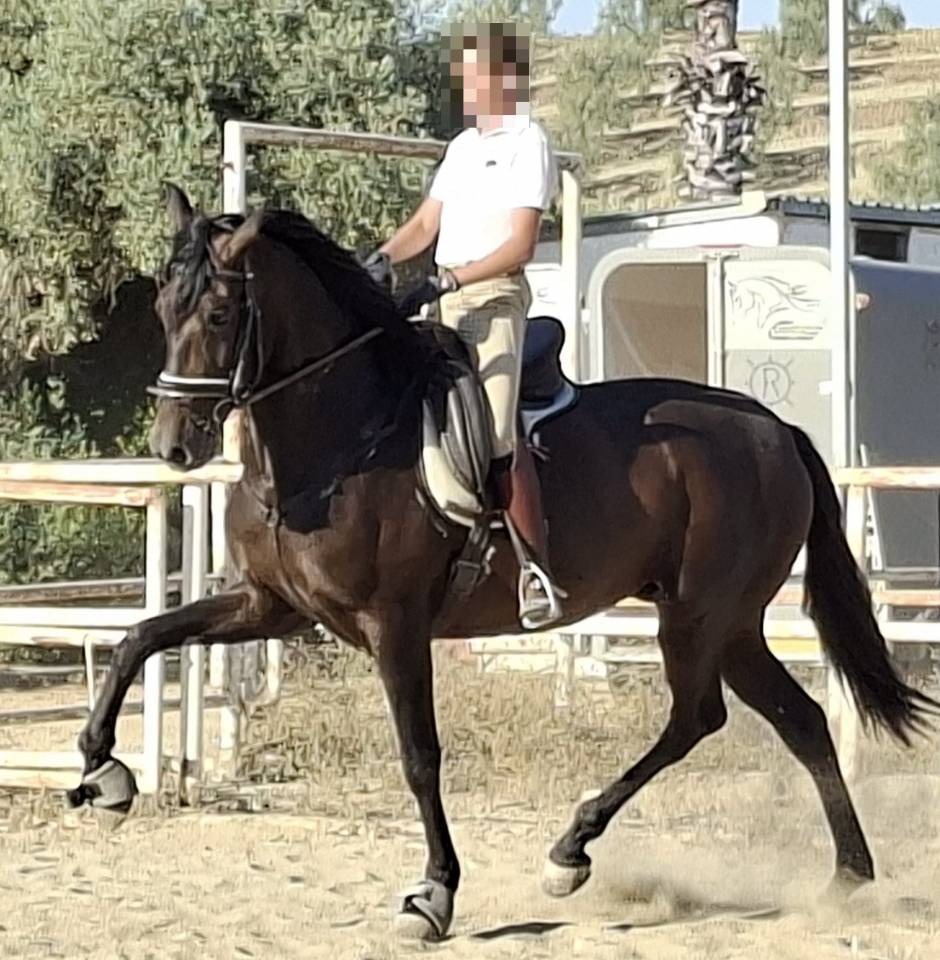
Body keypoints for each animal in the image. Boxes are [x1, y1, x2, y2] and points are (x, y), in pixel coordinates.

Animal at [67, 185, 936, 941]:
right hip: (733, 622)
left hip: (700, 614)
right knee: (797, 719)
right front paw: (105, 774)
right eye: (162, 309)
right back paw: (846, 877)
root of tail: (774, 427)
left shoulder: (394, 626)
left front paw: (433, 895)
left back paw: (570, 852)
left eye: (219, 312)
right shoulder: (270, 606)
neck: (339, 440)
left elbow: (420, 757)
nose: (173, 448)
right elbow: (140, 637)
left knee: (700, 717)